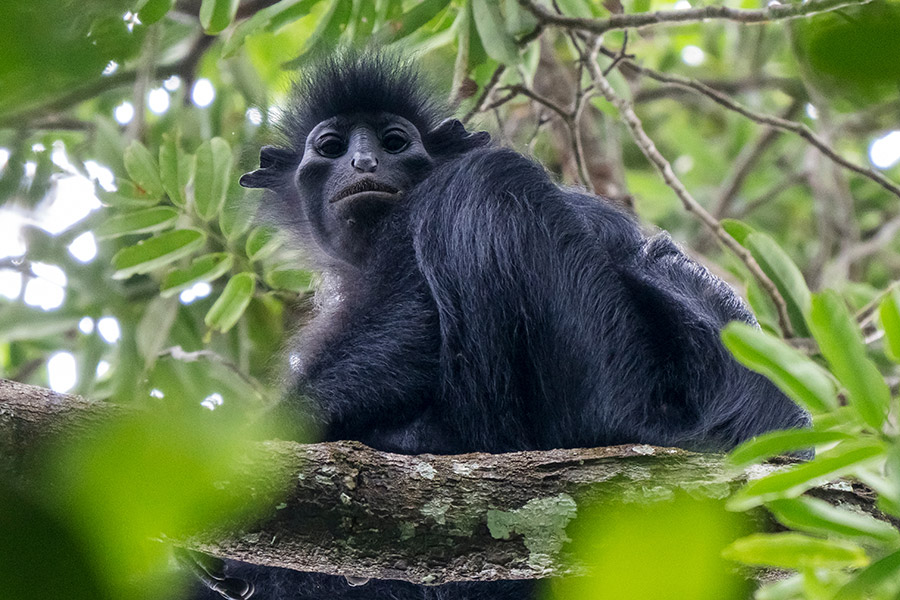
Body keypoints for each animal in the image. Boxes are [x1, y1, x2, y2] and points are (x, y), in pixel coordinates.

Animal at [190, 52, 808, 600]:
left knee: (484, 180)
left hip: (634, 397)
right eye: (330, 148)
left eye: (394, 142)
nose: (363, 164)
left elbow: (413, 329)